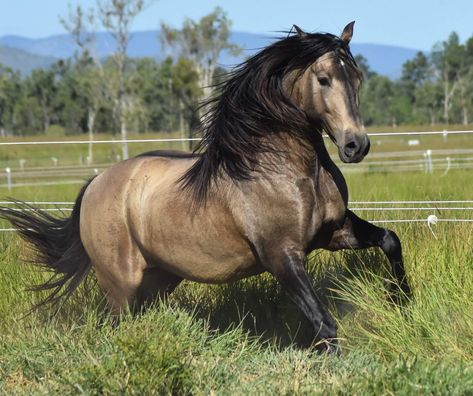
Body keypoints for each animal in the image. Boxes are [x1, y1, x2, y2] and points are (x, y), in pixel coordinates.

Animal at [0, 22, 410, 352]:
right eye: (323, 79)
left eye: (357, 78)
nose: (356, 145)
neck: (287, 170)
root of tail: (96, 183)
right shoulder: (281, 255)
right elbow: (324, 323)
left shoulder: (333, 231)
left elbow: (390, 240)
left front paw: (401, 303)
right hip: (121, 284)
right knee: (115, 324)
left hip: (159, 278)